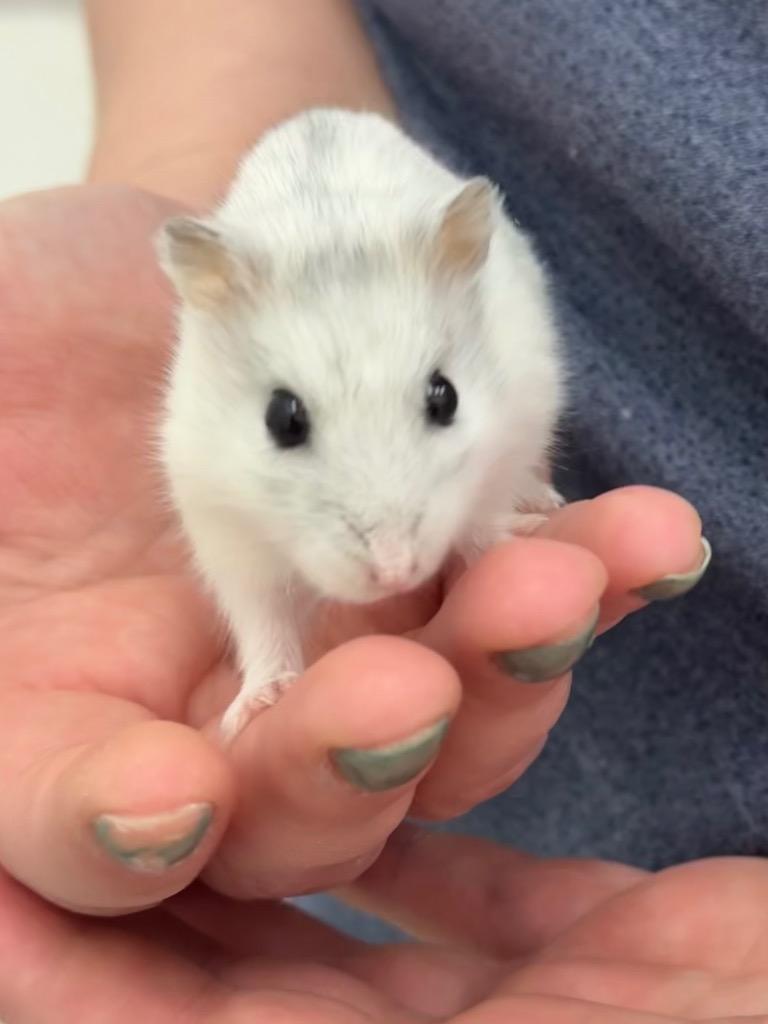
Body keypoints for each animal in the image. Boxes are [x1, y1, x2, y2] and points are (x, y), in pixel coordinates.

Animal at [156, 108, 564, 742]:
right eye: (281, 419)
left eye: (446, 397)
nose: (396, 573)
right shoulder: (224, 529)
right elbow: (262, 622)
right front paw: (256, 708)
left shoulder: (507, 434)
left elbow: (479, 522)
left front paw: (511, 545)